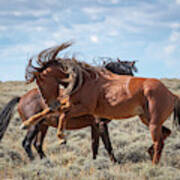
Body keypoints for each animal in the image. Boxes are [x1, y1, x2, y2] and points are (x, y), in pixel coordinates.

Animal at [21, 41, 180, 165]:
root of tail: (171, 94)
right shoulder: (76, 109)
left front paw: (61, 137)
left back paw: (153, 164)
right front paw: (26, 123)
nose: (50, 103)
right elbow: (51, 113)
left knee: (159, 142)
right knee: (165, 134)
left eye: (40, 82)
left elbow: (65, 117)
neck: (83, 81)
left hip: (152, 122)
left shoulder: (87, 112)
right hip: (147, 119)